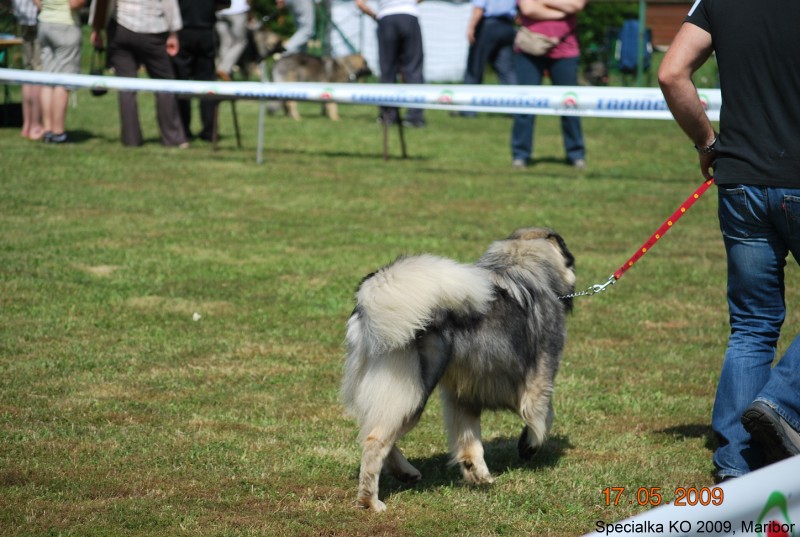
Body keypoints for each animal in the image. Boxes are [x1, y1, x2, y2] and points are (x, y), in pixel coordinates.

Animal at [338, 227, 576, 510]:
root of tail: (370, 307)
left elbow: (470, 439)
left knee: (372, 431)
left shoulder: (463, 395)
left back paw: (406, 473)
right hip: (413, 392)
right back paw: (370, 502)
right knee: (375, 440)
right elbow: (544, 415)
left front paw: (478, 474)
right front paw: (528, 446)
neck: (521, 263)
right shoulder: (539, 382)